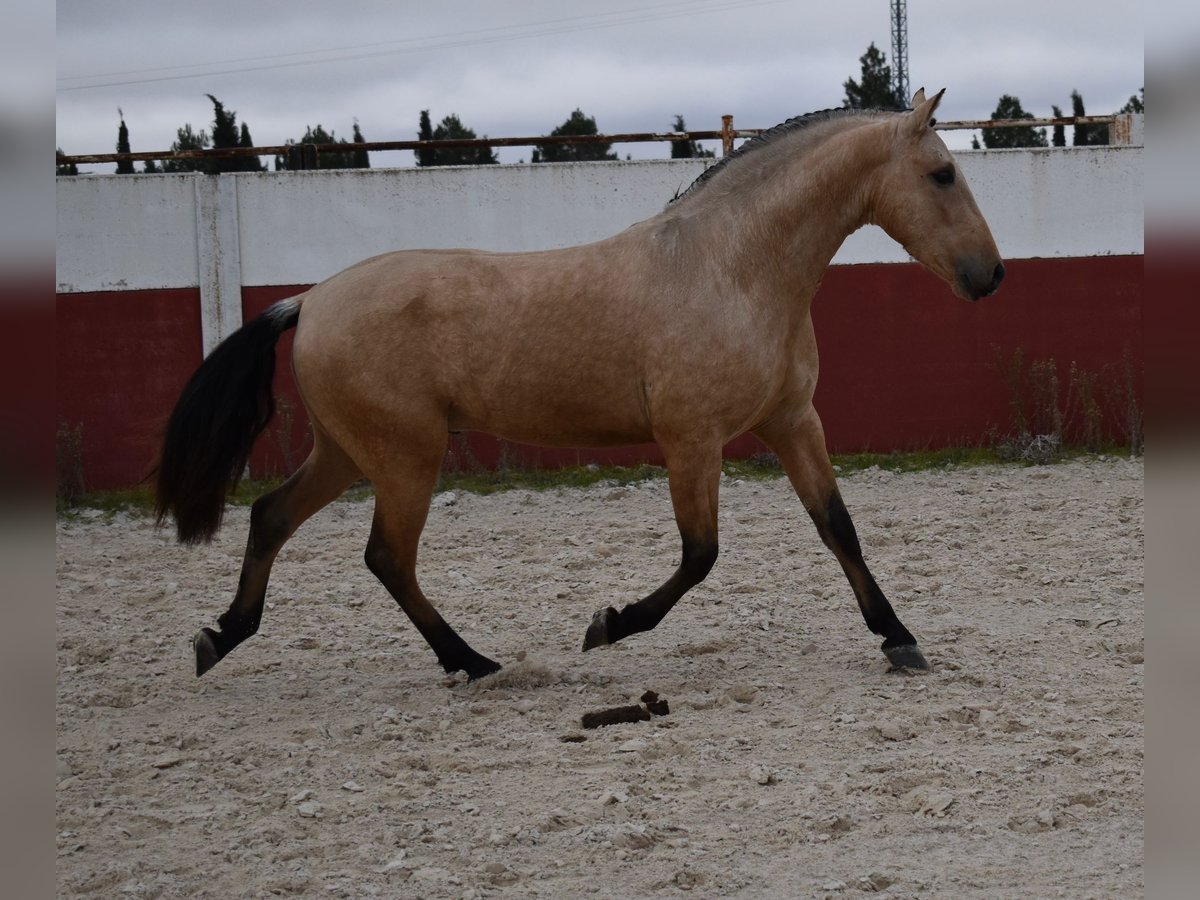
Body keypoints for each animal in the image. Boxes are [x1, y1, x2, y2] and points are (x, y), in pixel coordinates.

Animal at [157, 90, 1003, 681]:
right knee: (387, 558)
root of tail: (308, 299)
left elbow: (838, 528)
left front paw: (900, 639)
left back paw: (220, 637)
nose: (990, 276)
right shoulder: (691, 439)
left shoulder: (794, 421)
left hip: (349, 450)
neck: (733, 268)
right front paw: (607, 625)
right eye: (942, 173)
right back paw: (473, 661)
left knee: (271, 517)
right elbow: (701, 554)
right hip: (404, 457)